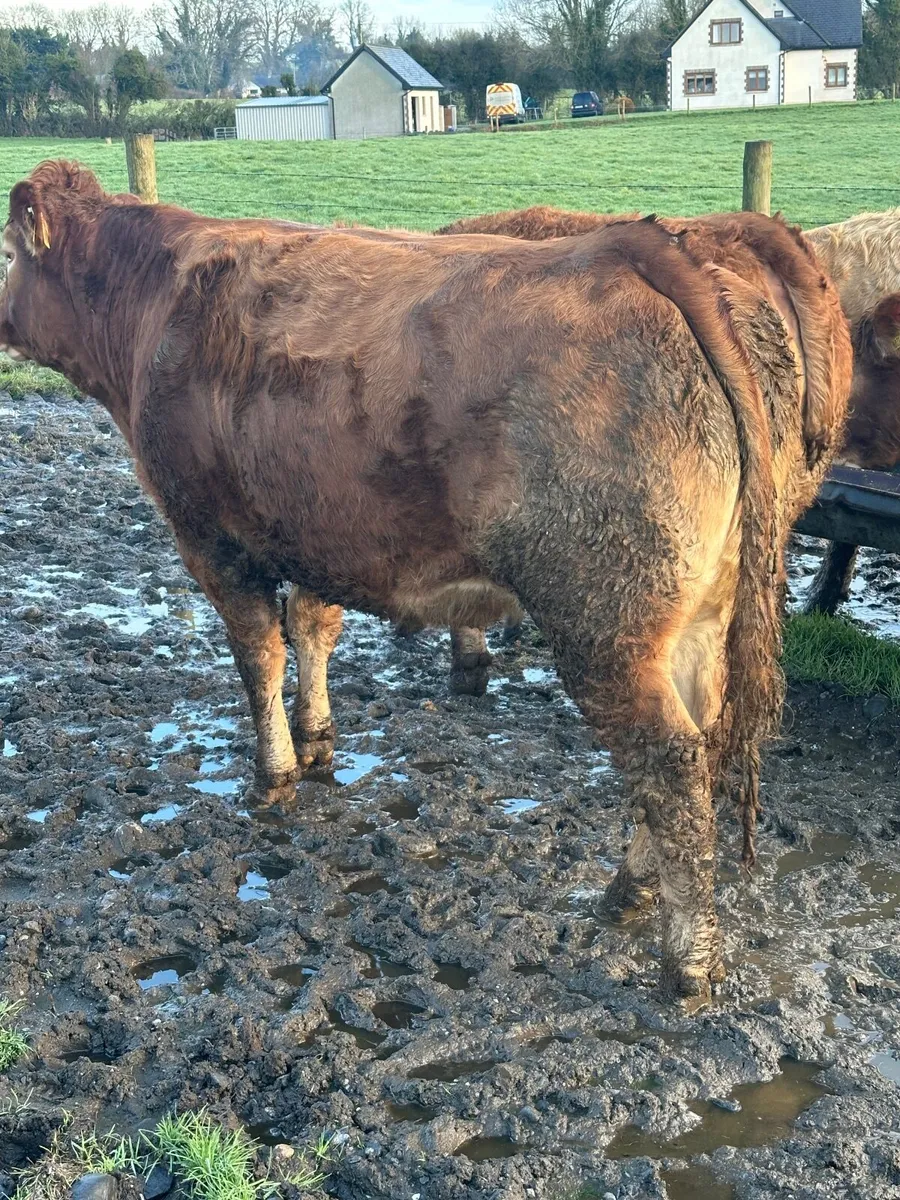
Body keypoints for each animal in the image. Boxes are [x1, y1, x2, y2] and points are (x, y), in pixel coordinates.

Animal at [0, 161, 851, 999]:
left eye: (6, 252)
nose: (2, 323)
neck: (158, 297)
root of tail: (632, 247)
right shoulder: (322, 531)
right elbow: (313, 630)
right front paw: (317, 738)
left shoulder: (212, 539)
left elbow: (258, 658)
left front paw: (273, 774)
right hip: (699, 612)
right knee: (701, 742)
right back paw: (628, 890)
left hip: (606, 625)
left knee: (671, 766)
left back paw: (686, 962)